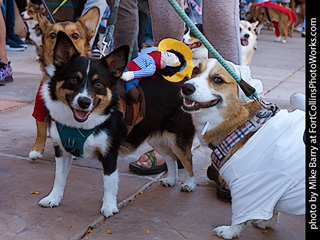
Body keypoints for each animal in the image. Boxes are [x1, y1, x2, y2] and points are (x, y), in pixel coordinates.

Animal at [38, 31, 196, 218]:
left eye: (98, 84)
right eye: (74, 79)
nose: (84, 102)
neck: (81, 124)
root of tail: (183, 84)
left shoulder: (110, 154)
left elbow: (109, 183)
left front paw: (109, 207)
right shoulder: (62, 151)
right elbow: (59, 178)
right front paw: (53, 198)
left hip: (178, 138)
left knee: (187, 158)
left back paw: (190, 184)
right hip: (157, 137)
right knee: (171, 157)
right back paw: (171, 180)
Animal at [180, 59, 304, 239]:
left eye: (218, 80)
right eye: (195, 70)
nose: (186, 87)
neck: (243, 126)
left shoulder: (248, 188)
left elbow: (239, 216)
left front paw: (229, 231)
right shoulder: (270, 188)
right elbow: (272, 208)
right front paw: (266, 223)